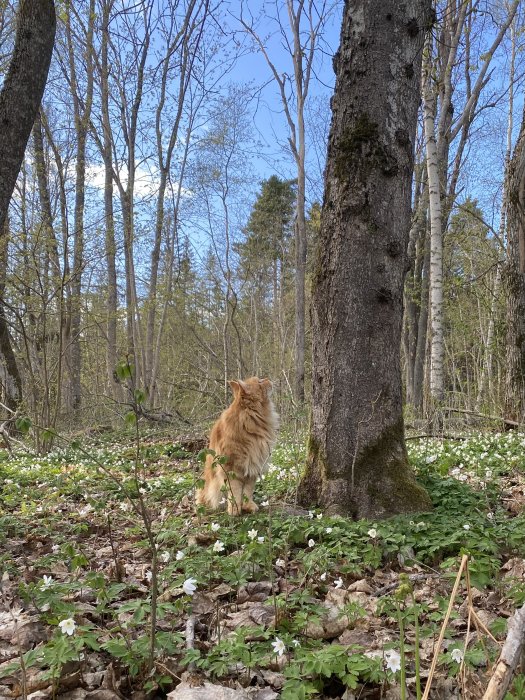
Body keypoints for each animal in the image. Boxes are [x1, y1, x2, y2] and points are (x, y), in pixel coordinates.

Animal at [195, 378, 278, 516]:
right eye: (260, 381)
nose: (268, 379)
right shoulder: (232, 468)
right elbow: (235, 492)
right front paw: (235, 509)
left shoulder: (252, 466)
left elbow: (248, 491)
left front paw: (248, 506)